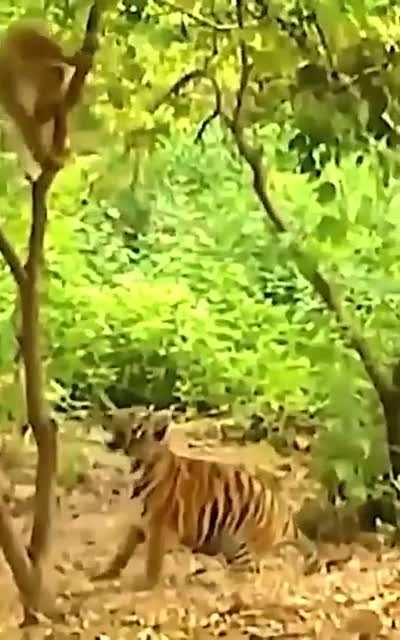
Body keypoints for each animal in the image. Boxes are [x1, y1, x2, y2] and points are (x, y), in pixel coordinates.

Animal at [94, 407, 318, 591]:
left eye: (132, 416)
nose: (109, 414)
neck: (135, 466)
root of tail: (284, 510)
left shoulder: (159, 526)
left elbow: (153, 561)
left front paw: (145, 584)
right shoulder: (137, 522)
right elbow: (122, 551)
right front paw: (106, 574)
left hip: (242, 546)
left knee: (247, 577)